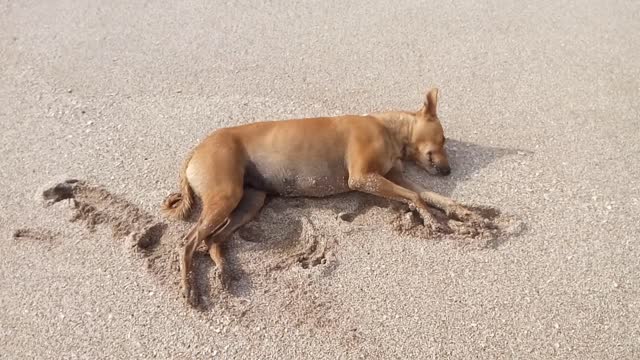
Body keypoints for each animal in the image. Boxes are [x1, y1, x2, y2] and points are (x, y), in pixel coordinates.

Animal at [162, 88, 478, 306]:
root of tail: (197, 149)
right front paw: (431, 219)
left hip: (250, 201)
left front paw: (464, 213)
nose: (448, 171)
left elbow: (428, 194)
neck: (387, 128)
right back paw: (190, 287)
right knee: (188, 242)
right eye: (443, 139)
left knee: (213, 240)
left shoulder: (392, 176)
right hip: (226, 195)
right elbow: (415, 196)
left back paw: (222, 270)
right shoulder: (363, 178)